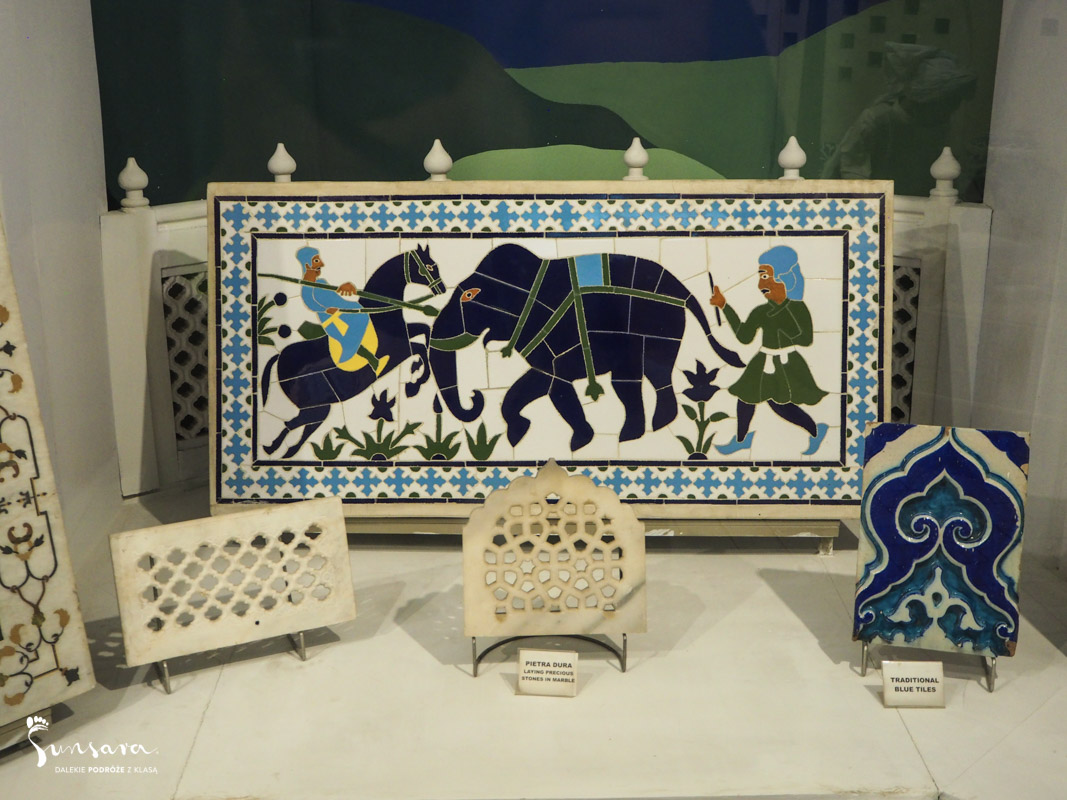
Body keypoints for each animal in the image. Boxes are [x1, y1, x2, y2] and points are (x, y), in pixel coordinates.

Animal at [260, 244, 444, 459]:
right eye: (430, 266)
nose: (441, 288)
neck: (379, 313)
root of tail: (279, 357)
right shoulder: (400, 350)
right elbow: (421, 347)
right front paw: (414, 383)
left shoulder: (405, 335)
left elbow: (425, 330)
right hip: (317, 408)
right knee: (295, 424)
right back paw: (277, 449)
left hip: (317, 409)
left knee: (303, 426)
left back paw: (279, 450)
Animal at [428, 244, 741, 452]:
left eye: (469, 295)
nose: (475, 397)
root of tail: (684, 292)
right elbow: (536, 383)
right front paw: (518, 434)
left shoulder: (556, 335)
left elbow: (556, 386)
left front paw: (578, 443)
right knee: (647, 378)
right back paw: (651, 427)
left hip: (657, 326)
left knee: (634, 380)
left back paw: (635, 433)